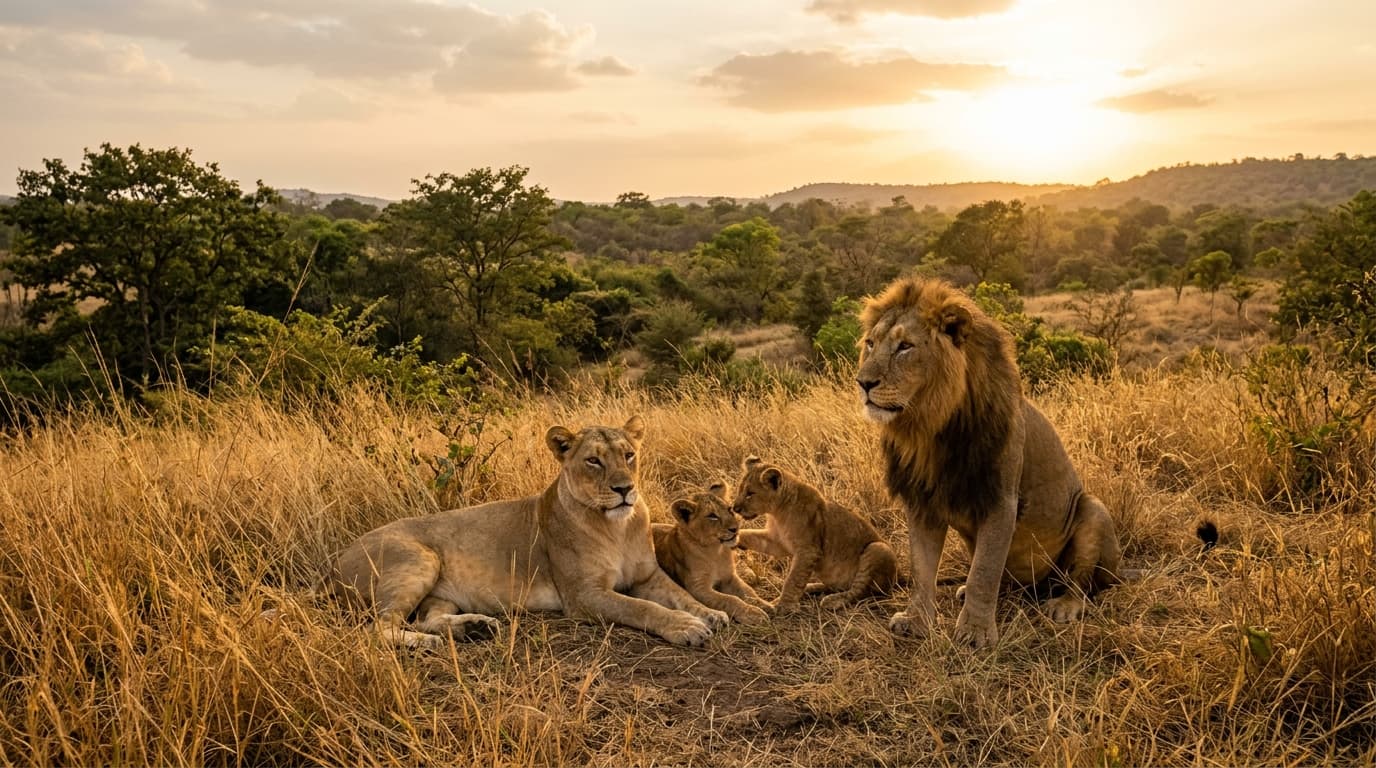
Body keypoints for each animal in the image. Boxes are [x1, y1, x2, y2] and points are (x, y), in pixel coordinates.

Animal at [327, 416, 729, 648]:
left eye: (629, 454)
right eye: (593, 461)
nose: (624, 489)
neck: (618, 526)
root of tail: (335, 562)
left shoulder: (648, 575)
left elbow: (679, 594)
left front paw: (710, 614)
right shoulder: (584, 595)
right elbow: (642, 607)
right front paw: (685, 627)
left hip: (439, 592)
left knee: (429, 618)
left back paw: (474, 628)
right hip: (418, 559)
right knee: (378, 628)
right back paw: (424, 645)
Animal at [652, 483, 773, 625]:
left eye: (729, 510)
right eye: (712, 516)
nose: (735, 528)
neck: (716, 551)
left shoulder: (729, 577)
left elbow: (748, 591)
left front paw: (765, 605)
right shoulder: (698, 588)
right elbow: (730, 599)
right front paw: (754, 613)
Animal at [730, 457, 899, 613]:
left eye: (750, 493)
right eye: (740, 490)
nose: (735, 508)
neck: (778, 512)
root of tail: (900, 577)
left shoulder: (808, 550)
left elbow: (794, 578)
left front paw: (784, 606)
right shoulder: (778, 542)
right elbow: (753, 537)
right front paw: (734, 538)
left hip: (878, 548)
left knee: (860, 592)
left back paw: (832, 601)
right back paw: (811, 588)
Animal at [856, 276, 1121, 648]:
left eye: (905, 347)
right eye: (870, 343)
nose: (863, 383)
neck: (930, 429)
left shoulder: (1000, 500)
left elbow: (984, 570)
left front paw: (975, 632)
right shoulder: (922, 502)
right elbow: (922, 568)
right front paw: (917, 621)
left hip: (1092, 510)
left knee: (1081, 582)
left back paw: (1064, 606)